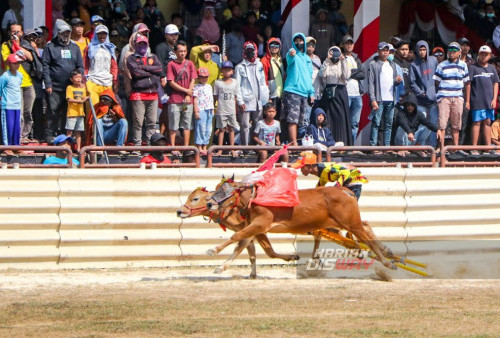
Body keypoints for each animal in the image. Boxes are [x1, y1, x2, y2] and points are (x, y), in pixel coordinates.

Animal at [207, 181, 394, 268]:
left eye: (226, 191)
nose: (209, 203)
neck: (255, 198)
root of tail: (344, 191)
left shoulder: (260, 224)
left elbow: (236, 236)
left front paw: (212, 250)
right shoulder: (256, 228)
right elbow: (242, 245)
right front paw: (220, 267)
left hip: (351, 224)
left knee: (367, 238)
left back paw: (387, 262)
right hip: (347, 223)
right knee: (366, 228)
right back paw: (386, 252)